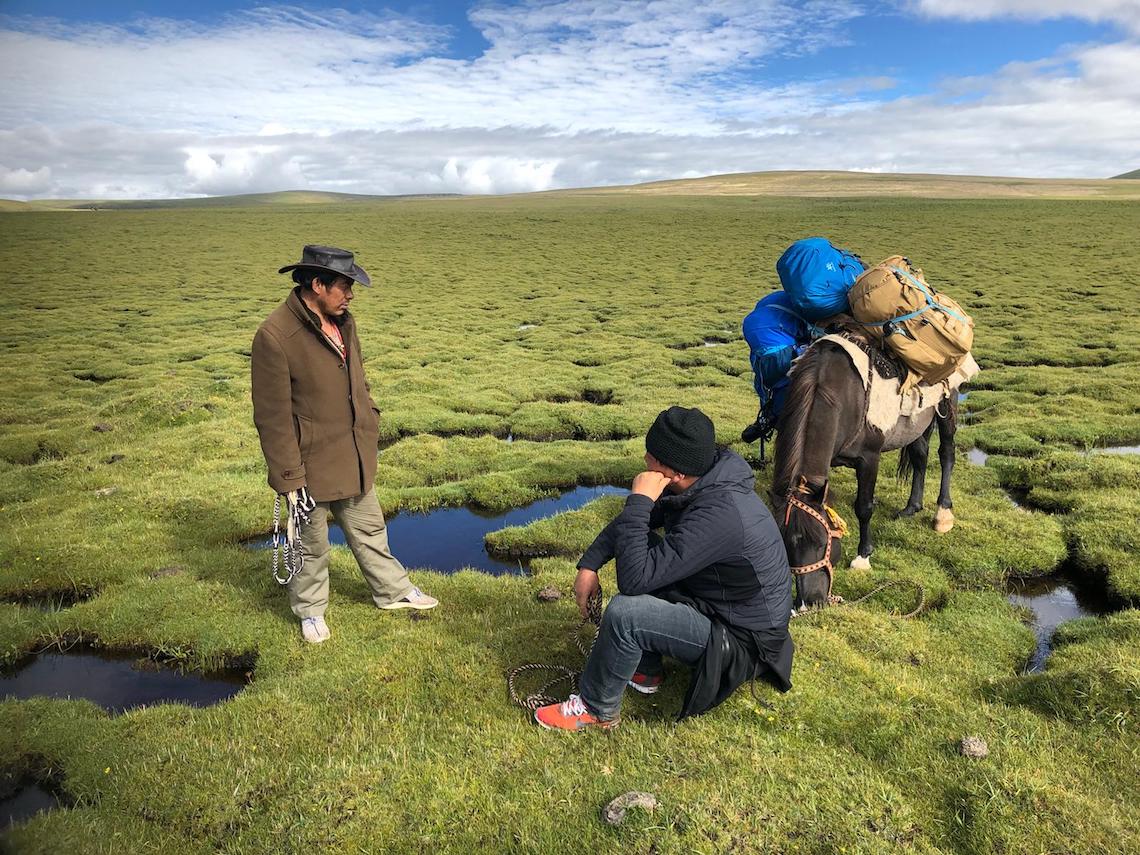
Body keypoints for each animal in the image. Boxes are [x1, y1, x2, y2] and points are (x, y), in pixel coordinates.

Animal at [770, 337, 957, 611]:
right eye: (785, 545)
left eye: (820, 541)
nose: (811, 602)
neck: (840, 396)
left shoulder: (869, 458)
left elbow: (864, 507)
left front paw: (863, 557)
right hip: (916, 424)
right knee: (920, 455)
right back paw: (911, 507)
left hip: (948, 405)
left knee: (946, 454)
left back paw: (942, 513)